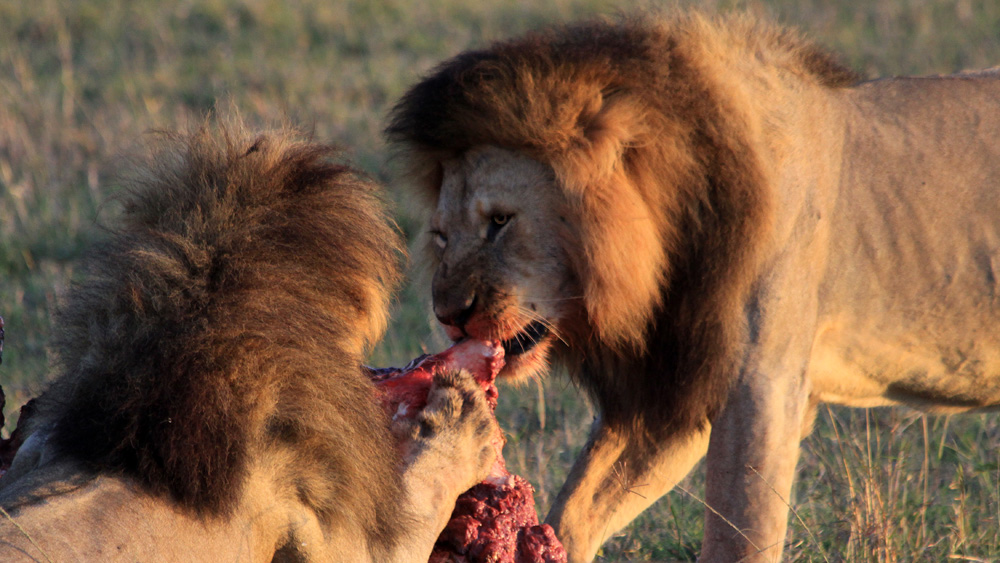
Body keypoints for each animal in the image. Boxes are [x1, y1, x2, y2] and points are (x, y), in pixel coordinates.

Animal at [386, 9, 1000, 563]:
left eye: (500, 220)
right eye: (440, 236)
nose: (448, 314)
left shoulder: (763, 384)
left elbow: (739, 539)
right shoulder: (675, 389)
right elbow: (576, 511)